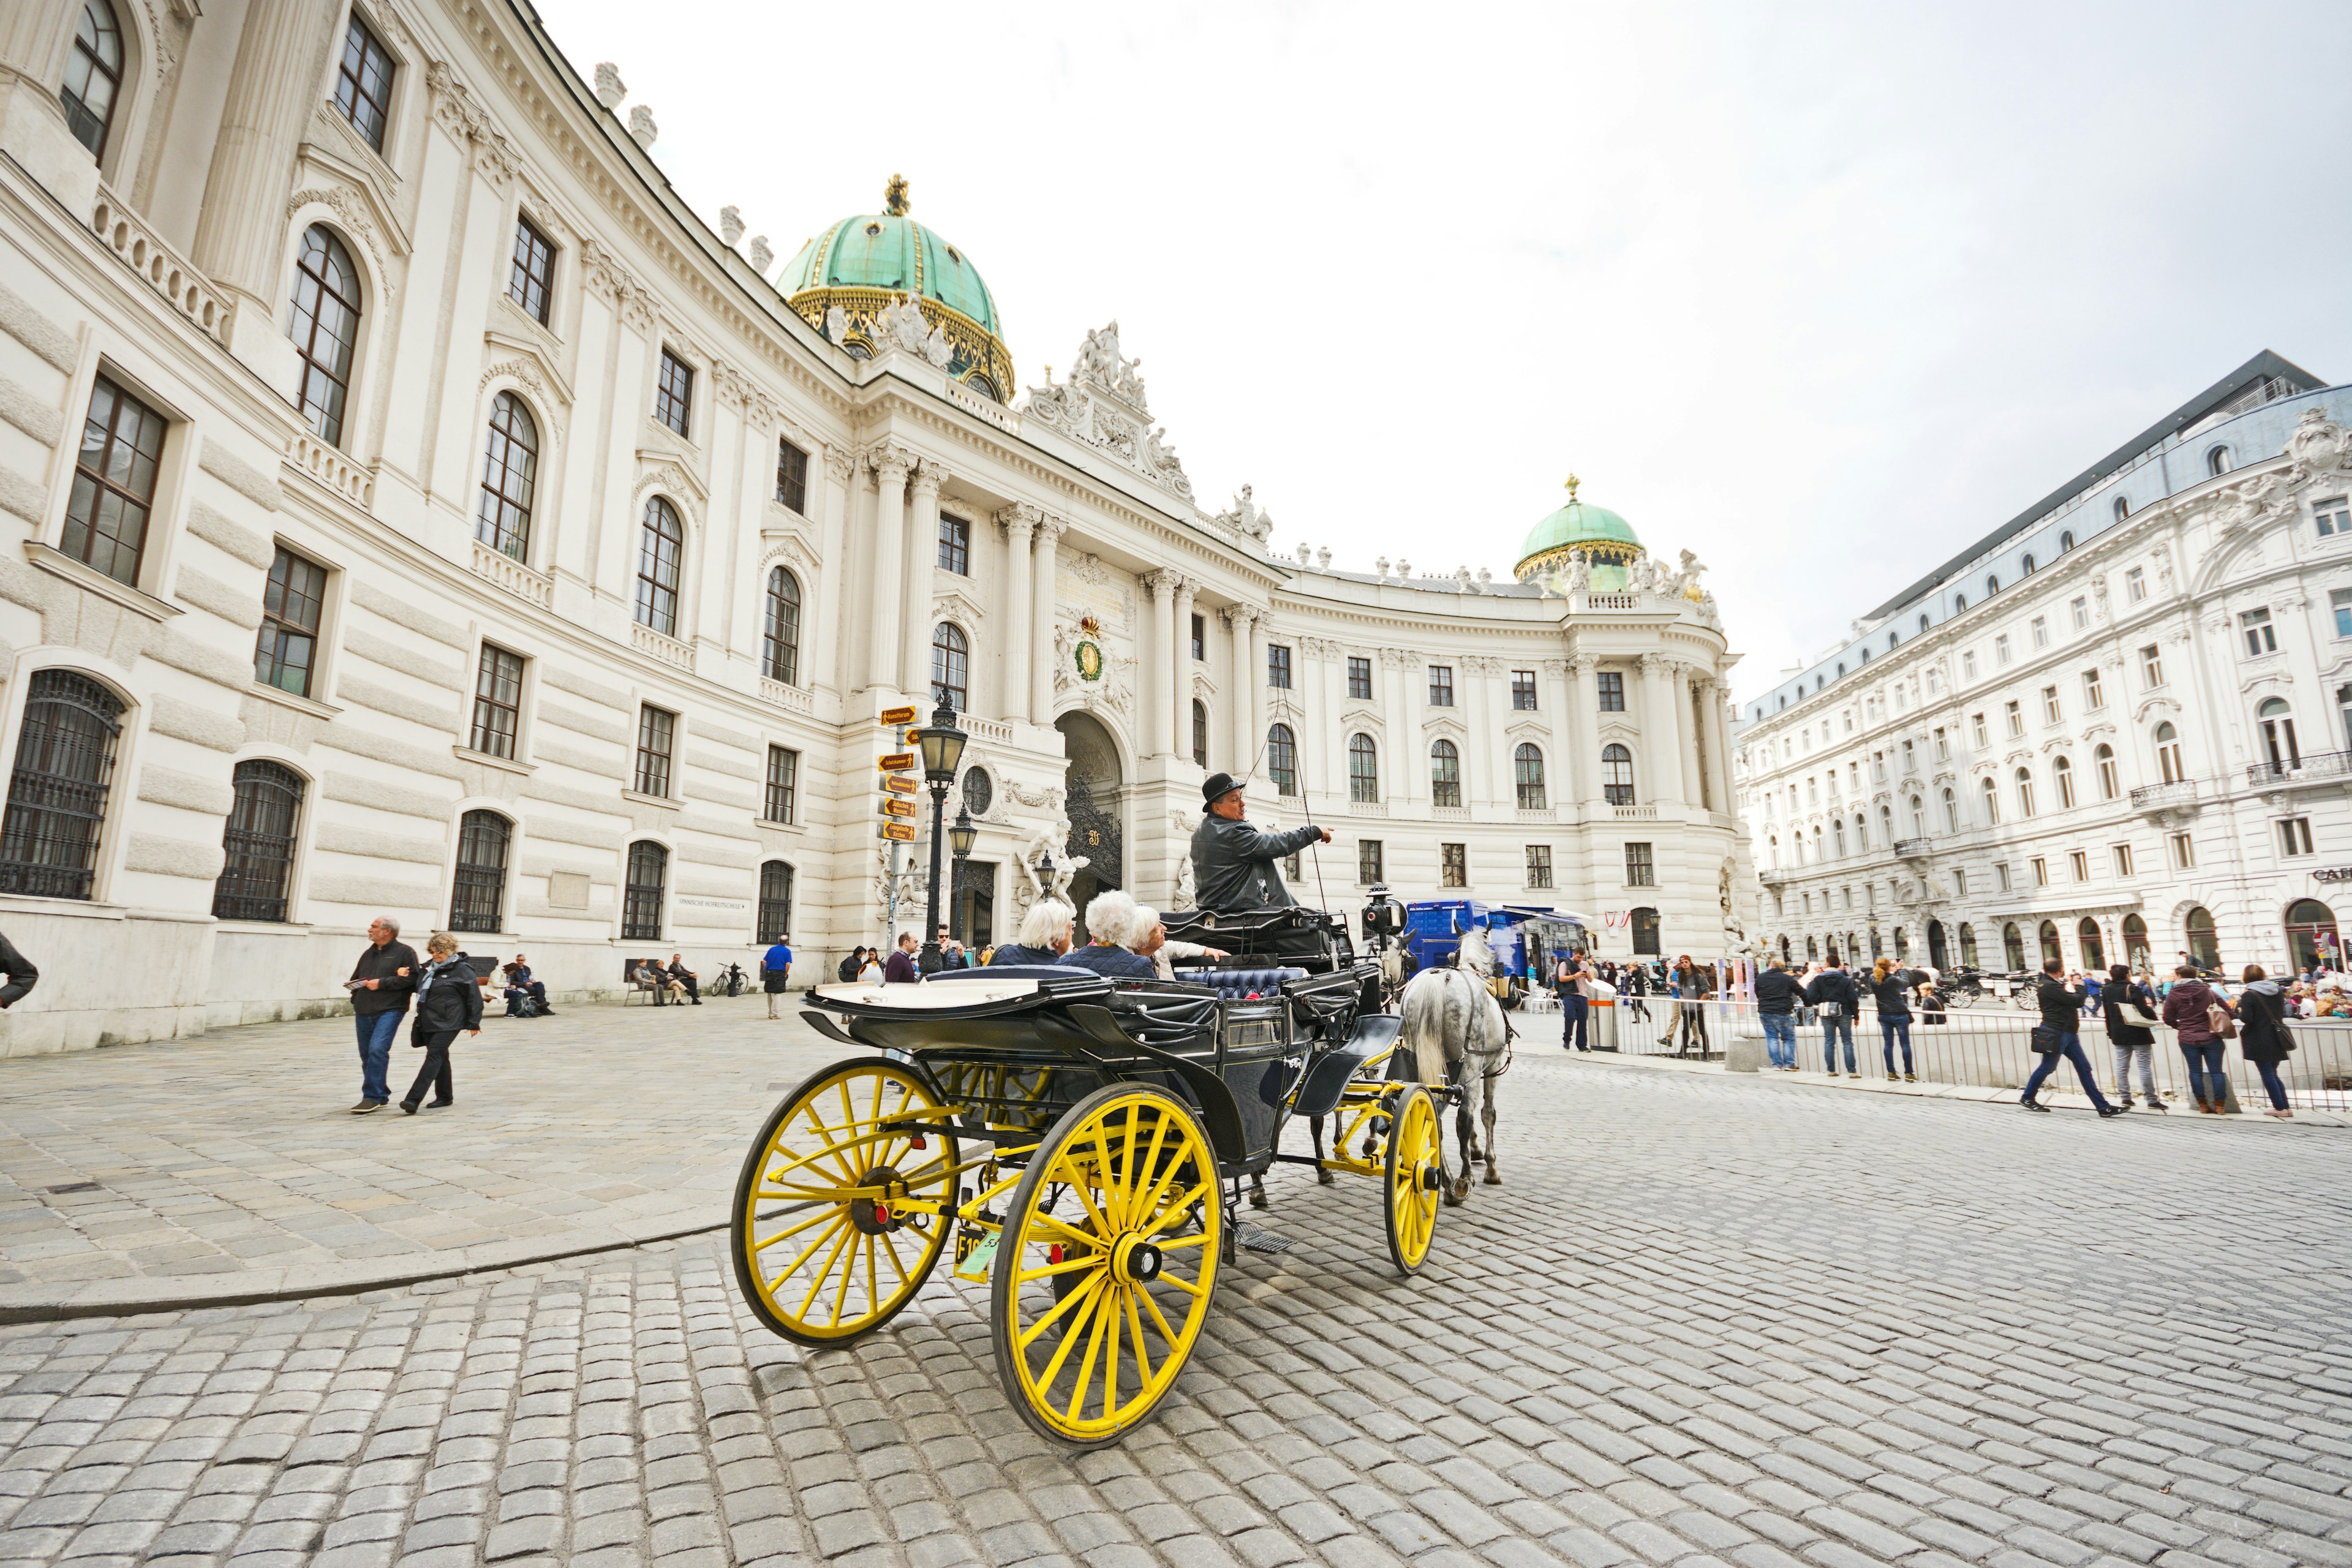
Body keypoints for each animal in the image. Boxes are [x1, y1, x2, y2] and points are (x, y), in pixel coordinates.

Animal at [1392, 926, 1505, 1194]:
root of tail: (1436, 983)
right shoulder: (1492, 1067)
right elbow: (1487, 1113)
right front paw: (1491, 1167)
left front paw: (1476, 1151)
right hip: (1471, 1062)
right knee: (1464, 1116)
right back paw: (1463, 1180)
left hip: (1421, 1059)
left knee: (1431, 1111)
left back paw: (1443, 1178)